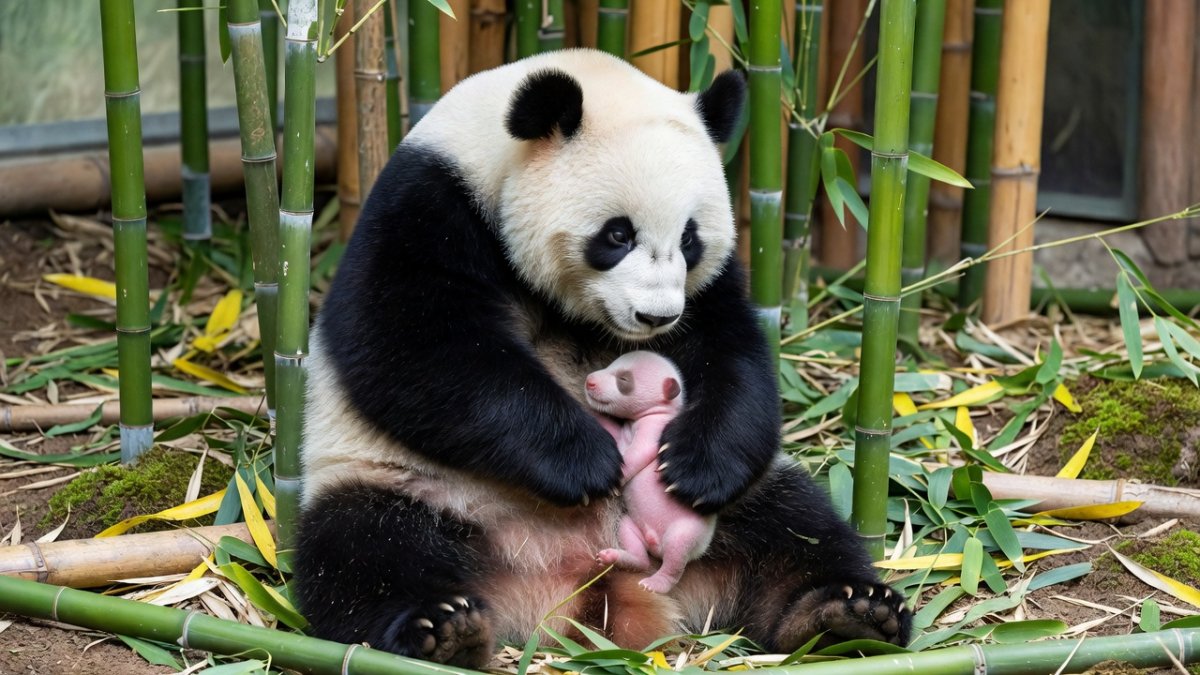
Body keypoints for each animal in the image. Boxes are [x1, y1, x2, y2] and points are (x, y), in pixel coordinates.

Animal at [294, 49, 910, 666]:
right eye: (617, 234)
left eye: (690, 239)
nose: (656, 317)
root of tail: (574, 580)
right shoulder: (428, 206)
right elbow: (411, 348)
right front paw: (585, 462)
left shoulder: (706, 290)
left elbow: (732, 353)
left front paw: (695, 466)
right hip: (409, 485)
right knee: (365, 551)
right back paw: (442, 628)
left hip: (748, 502)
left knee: (798, 530)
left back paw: (846, 613)